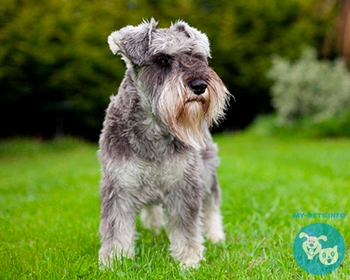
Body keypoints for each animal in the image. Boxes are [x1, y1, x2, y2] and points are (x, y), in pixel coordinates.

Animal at [98, 18, 230, 268]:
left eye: (197, 57)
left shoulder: (184, 184)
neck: (154, 128)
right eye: (162, 60)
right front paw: (114, 261)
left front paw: (189, 260)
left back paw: (216, 236)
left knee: (212, 204)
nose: (200, 85)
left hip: (207, 173)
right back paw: (153, 228)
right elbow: (116, 227)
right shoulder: (119, 186)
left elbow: (186, 227)